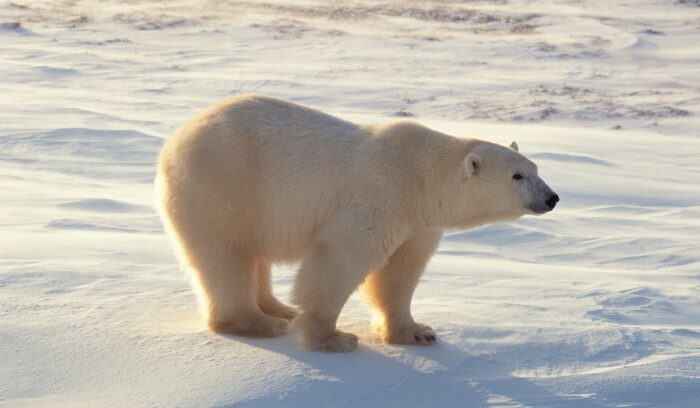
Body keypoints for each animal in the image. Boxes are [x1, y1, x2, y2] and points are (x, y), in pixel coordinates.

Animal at [156, 94, 558, 352]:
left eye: (536, 169)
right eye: (517, 176)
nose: (552, 197)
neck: (421, 177)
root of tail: (175, 140)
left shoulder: (418, 223)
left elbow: (400, 272)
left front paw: (417, 332)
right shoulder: (380, 196)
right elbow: (341, 259)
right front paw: (333, 338)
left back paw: (278, 309)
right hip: (224, 186)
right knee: (226, 255)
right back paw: (258, 323)